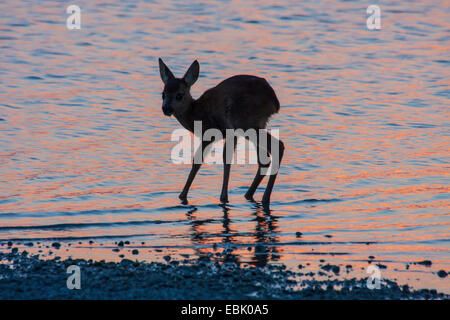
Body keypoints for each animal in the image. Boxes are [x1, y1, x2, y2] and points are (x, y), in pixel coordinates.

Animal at [158, 57, 284, 208]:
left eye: (179, 95)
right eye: (163, 94)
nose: (166, 108)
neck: (197, 114)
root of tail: (275, 102)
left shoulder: (225, 129)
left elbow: (221, 159)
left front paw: (223, 197)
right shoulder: (214, 136)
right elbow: (200, 161)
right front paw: (183, 195)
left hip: (248, 123)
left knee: (278, 146)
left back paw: (265, 198)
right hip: (256, 125)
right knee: (265, 159)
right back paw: (249, 195)